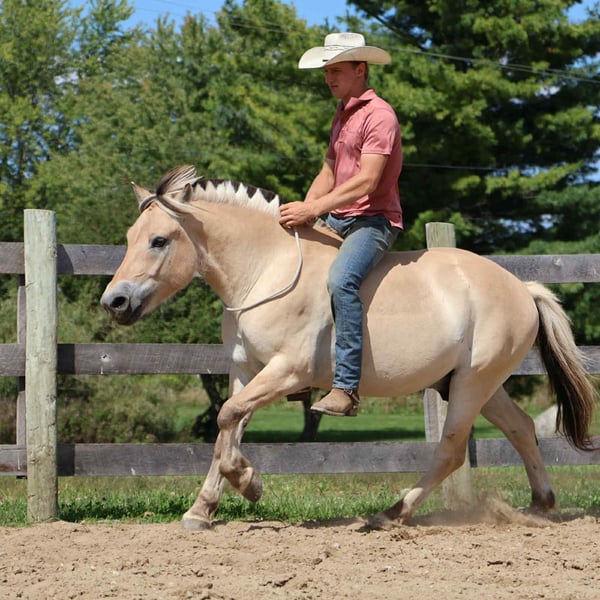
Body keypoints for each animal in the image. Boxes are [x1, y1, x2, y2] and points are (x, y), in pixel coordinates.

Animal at [101, 165, 596, 531]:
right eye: (128, 238)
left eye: (159, 240)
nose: (114, 302)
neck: (266, 269)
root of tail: (521, 288)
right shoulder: (245, 371)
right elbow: (229, 424)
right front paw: (202, 509)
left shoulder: (287, 371)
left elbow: (227, 419)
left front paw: (249, 483)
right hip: (476, 385)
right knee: (521, 429)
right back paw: (540, 505)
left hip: (473, 384)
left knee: (453, 450)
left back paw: (392, 513)